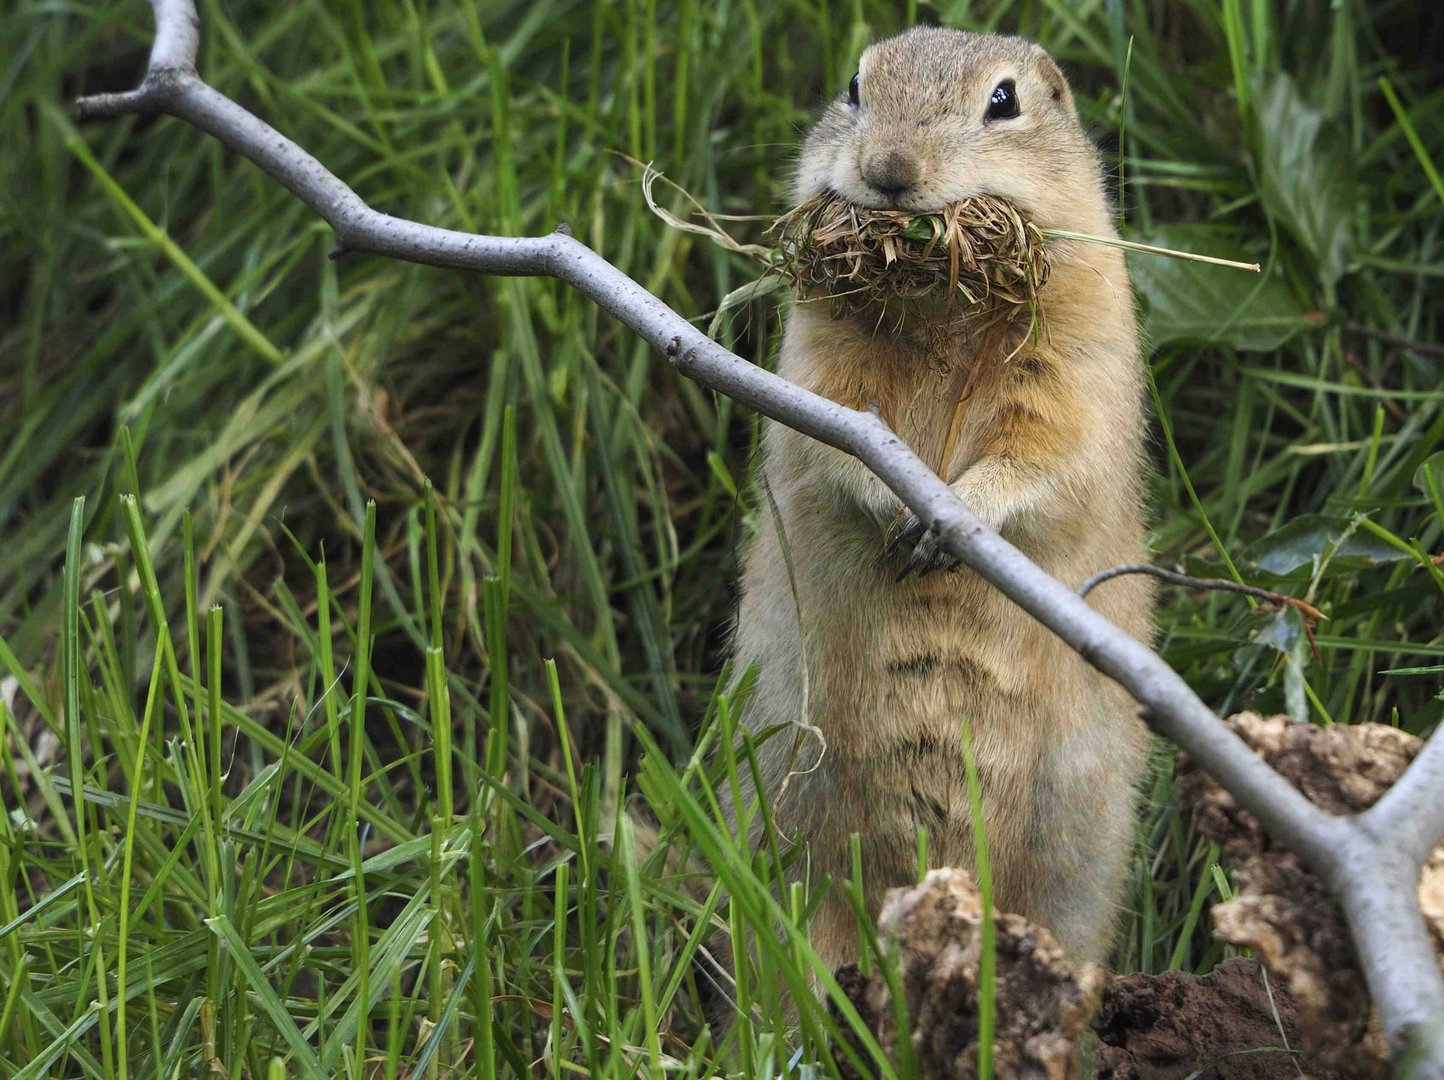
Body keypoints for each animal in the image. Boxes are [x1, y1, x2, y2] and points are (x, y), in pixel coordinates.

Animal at [727, 29, 1155, 976]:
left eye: (1004, 101)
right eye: (854, 87)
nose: (889, 169)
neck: (938, 302)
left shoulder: (1072, 368)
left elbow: (1041, 454)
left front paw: (947, 519)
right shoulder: (820, 370)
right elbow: (835, 442)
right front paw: (897, 515)